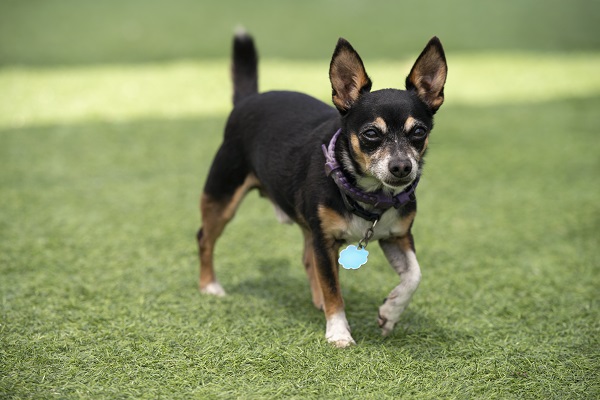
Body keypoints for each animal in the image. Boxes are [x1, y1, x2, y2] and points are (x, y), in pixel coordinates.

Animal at [197, 31, 446, 346]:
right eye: (371, 134)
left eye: (419, 132)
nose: (402, 167)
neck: (369, 196)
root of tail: (249, 98)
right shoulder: (325, 241)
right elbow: (332, 288)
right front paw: (338, 332)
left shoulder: (398, 236)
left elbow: (414, 275)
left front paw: (390, 312)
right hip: (222, 195)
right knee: (204, 237)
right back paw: (209, 286)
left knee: (307, 258)